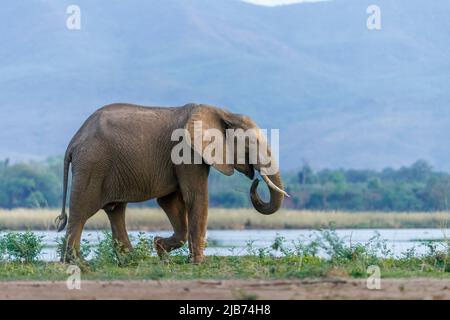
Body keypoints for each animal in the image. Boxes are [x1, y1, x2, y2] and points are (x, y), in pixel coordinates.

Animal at [56, 104, 286, 264]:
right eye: (250, 144)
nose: (256, 180)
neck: (223, 112)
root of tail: (73, 141)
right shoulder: (187, 152)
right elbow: (196, 196)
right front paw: (198, 262)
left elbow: (170, 202)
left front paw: (160, 249)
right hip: (92, 164)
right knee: (81, 211)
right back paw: (77, 263)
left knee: (115, 210)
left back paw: (131, 261)